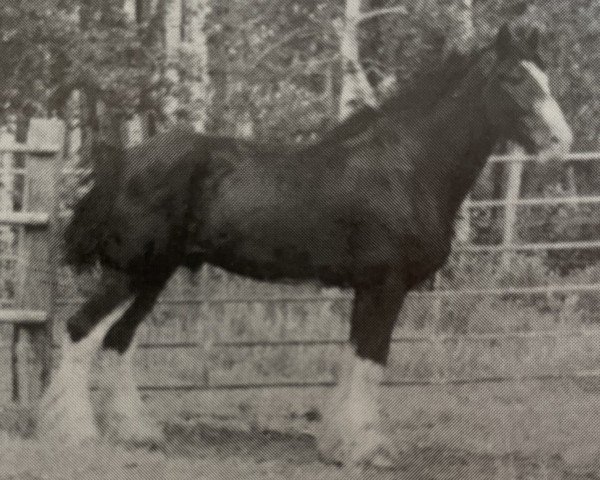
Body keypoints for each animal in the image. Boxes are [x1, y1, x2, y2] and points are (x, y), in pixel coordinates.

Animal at [38, 23, 572, 468]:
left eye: (544, 74)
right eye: (512, 76)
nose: (561, 141)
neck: (408, 168)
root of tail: (123, 161)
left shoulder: (367, 289)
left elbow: (354, 358)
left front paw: (338, 444)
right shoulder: (385, 286)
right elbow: (371, 360)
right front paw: (367, 450)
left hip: (153, 275)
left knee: (117, 338)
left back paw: (137, 435)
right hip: (131, 272)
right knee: (81, 329)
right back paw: (74, 435)